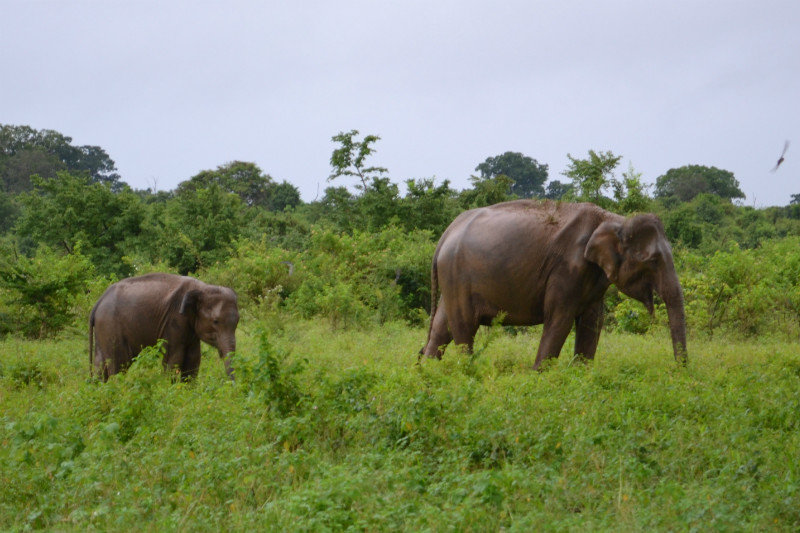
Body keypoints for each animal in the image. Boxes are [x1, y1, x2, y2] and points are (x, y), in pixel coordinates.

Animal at [89, 272, 238, 380]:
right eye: (215, 321)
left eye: (237, 322)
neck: (203, 288)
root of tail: (98, 302)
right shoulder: (174, 320)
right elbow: (173, 359)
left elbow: (193, 360)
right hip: (110, 327)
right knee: (119, 364)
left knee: (100, 365)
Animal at [418, 197, 688, 368]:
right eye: (653, 260)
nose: (679, 372)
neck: (613, 218)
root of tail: (446, 233)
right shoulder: (567, 268)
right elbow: (560, 318)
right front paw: (540, 377)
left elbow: (592, 321)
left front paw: (580, 375)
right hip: (457, 276)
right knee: (464, 329)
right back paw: (467, 370)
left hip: (453, 279)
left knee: (442, 327)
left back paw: (429, 373)